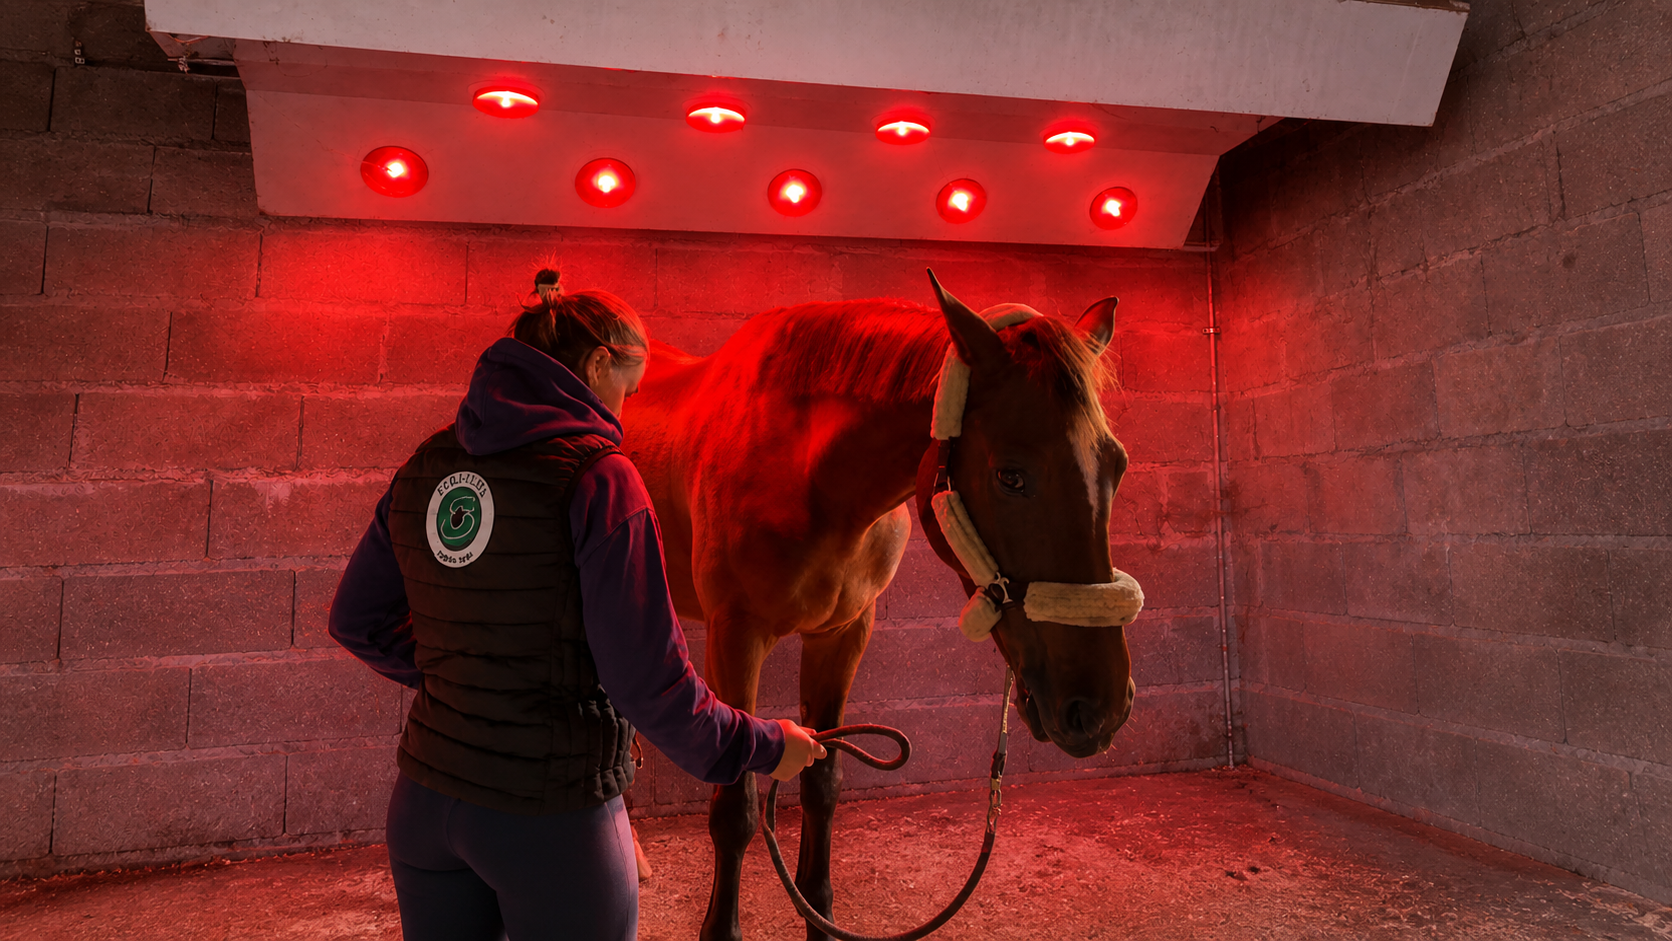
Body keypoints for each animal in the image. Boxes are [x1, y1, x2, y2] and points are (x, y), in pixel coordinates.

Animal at [620, 274, 1138, 941]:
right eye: (1011, 476)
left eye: (1116, 465)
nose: (1100, 711)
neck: (804, 469)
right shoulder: (735, 638)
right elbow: (734, 807)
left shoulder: (843, 635)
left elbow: (823, 782)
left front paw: (820, 919)